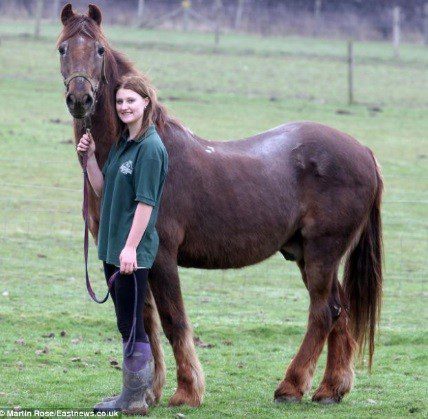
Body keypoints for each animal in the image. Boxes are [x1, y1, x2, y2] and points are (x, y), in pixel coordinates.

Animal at [57, 3, 384, 410]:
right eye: (62, 48)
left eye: (99, 50)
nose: (80, 98)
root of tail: (364, 152)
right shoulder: (126, 259)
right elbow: (143, 322)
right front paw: (148, 392)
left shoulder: (161, 256)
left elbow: (173, 320)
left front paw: (186, 391)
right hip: (307, 254)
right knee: (339, 312)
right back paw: (330, 389)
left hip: (323, 252)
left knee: (323, 313)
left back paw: (291, 386)